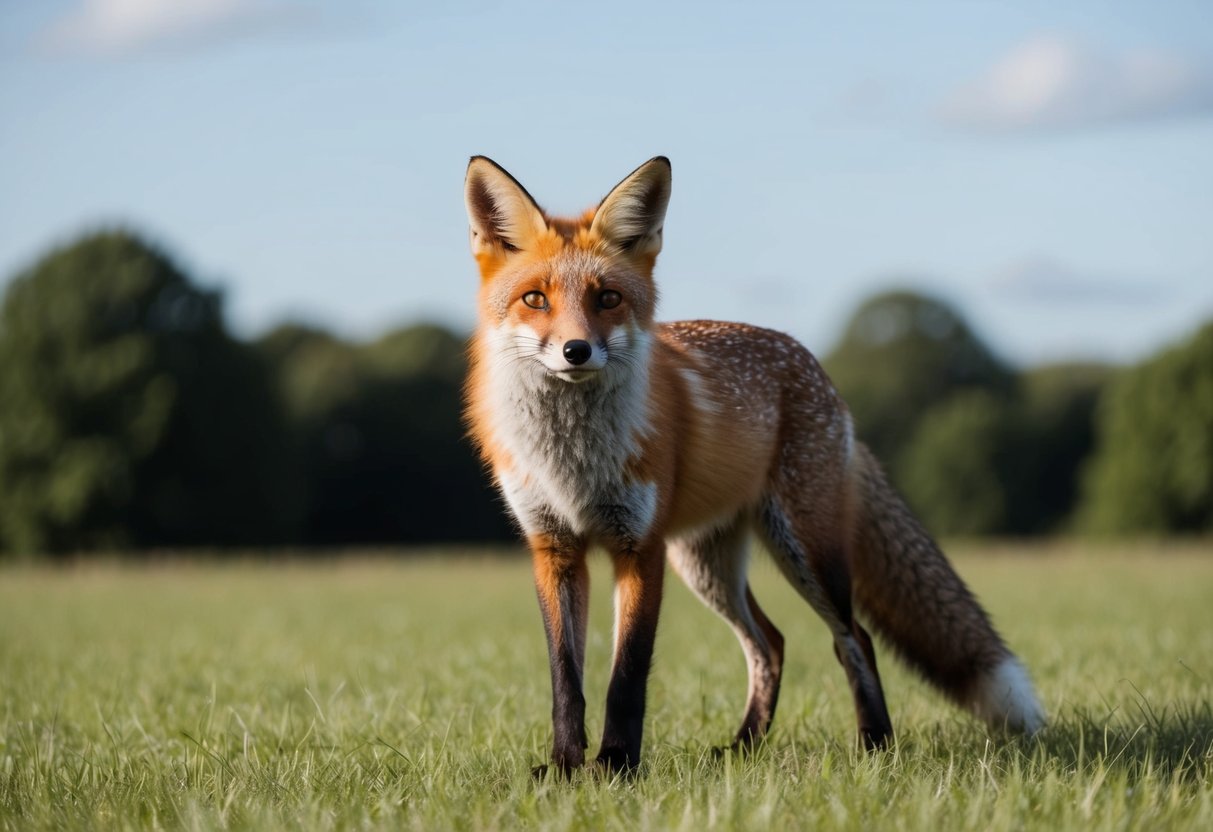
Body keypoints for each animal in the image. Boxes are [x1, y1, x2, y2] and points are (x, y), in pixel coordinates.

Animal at [462, 155, 1045, 775]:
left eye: (608, 299)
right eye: (535, 299)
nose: (576, 351)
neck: (572, 461)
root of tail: (817, 369)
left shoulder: (639, 548)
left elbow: (626, 678)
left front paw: (616, 765)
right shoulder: (554, 550)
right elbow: (565, 680)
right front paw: (566, 767)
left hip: (805, 552)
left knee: (853, 638)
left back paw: (874, 744)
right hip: (707, 566)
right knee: (772, 643)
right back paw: (744, 745)